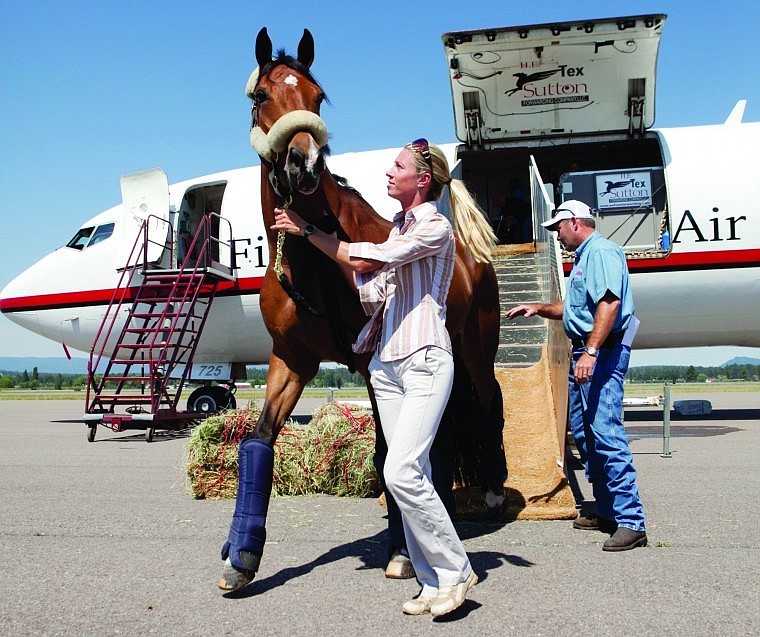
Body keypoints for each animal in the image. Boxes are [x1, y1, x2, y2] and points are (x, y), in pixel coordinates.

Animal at [220, 26, 504, 592]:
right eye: (260, 96)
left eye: (318, 96)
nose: (303, 163)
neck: (313, 263)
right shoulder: (291, 360)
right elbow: (259, 439)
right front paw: (241, 556)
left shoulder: (371, 363)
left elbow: (385, 451)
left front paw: (399, 551)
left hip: (476, 352)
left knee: (490, 402)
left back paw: (494, 490)